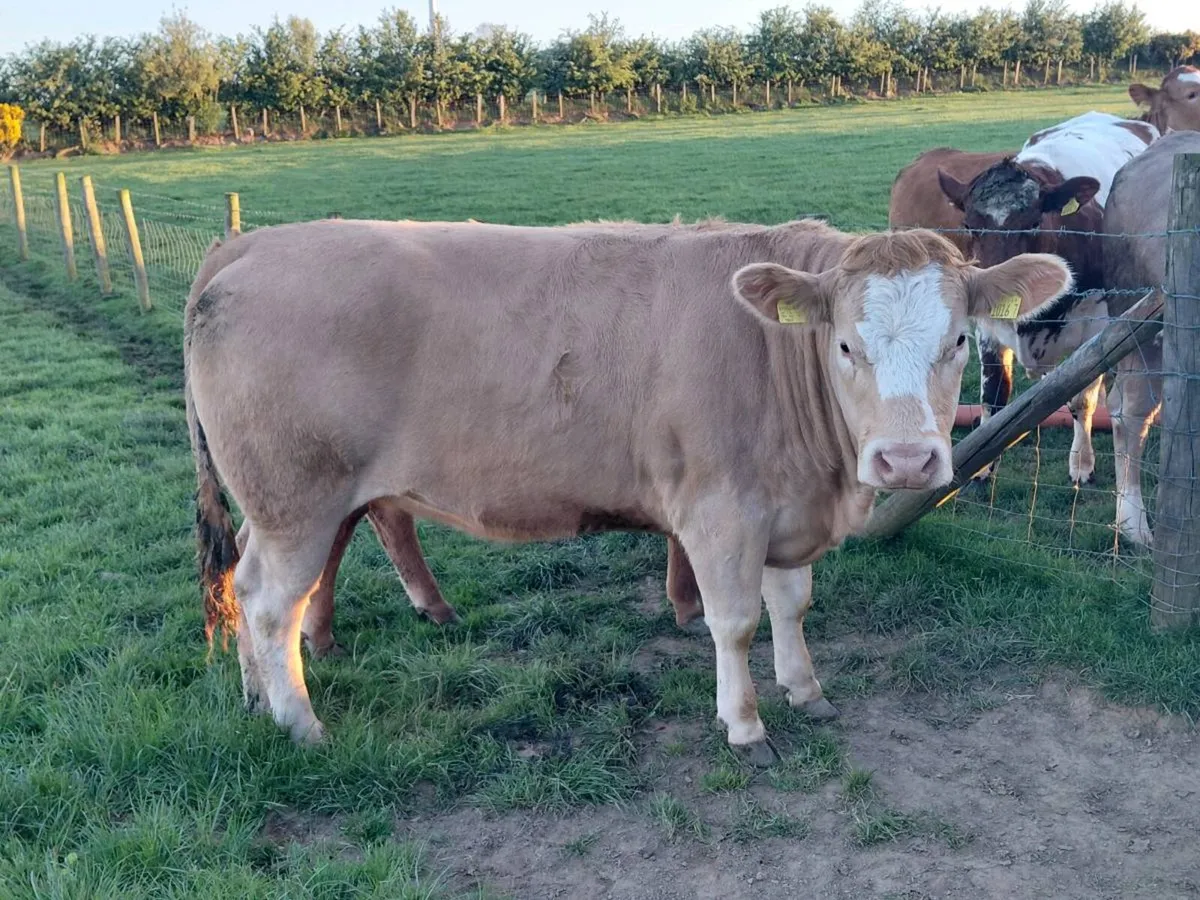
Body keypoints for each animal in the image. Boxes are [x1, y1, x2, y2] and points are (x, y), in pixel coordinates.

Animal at [185, 218, 1072, 762]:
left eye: (958, 342)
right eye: (846, 345)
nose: (906, 463)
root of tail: (253, 245)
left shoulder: (787, 509)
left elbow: (791, 608)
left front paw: (805, 690)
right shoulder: (722, 512)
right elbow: (734, 623)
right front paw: (745, 724)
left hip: (284, 507)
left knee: (245, 585)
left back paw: (255, 698)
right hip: (296, 501)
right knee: (268, 601)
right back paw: (300, 722)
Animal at [934, 111, 1157, 487]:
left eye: (1035, 221)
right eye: (968, 225)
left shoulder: (1095, 330)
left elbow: (1081, 400)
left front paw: (1082, 462)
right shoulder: (988, 329)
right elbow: (994, 396)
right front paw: (981, 468)